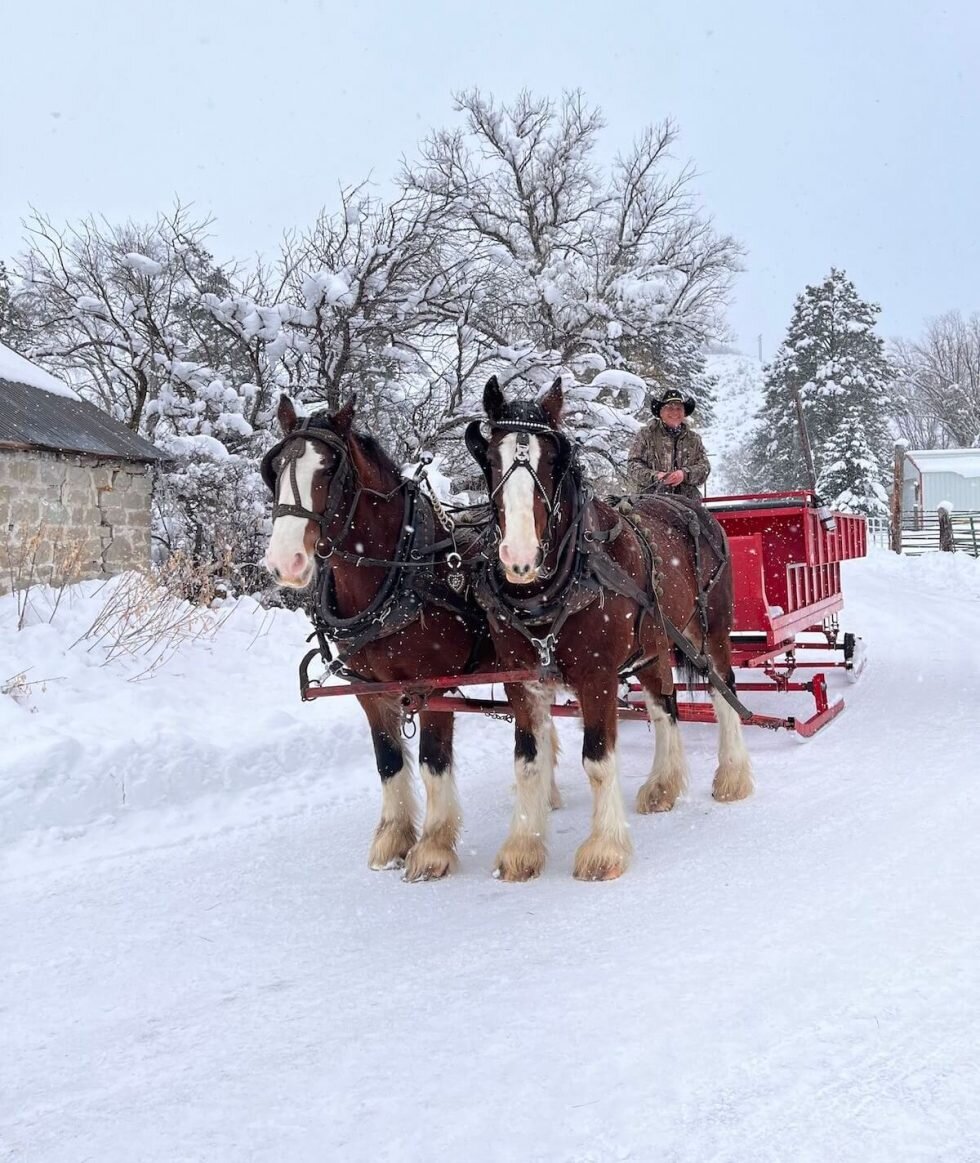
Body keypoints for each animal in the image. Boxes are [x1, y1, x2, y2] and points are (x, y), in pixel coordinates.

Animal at [261, 394, 558, 880]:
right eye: (276, 467)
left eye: (329, 468)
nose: (285, 562)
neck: (401, 572)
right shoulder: (370, 689)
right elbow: (388, 761)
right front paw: (392, 840)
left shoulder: (432, 685)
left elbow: (432, 760)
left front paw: (432, 848)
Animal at [465, 376, 753, 881]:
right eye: (491, 459)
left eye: (553, 461)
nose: (519, 557)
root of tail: (688, 506)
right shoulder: (522, 681)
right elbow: (528, 762)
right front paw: (523, 848)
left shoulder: (596, 676)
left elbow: (598, 760)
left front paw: (604, 849)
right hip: (655, 643)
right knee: (664, 705)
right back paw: (662, 785)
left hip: (712, 630)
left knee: (724, 691)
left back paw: (733, 776)